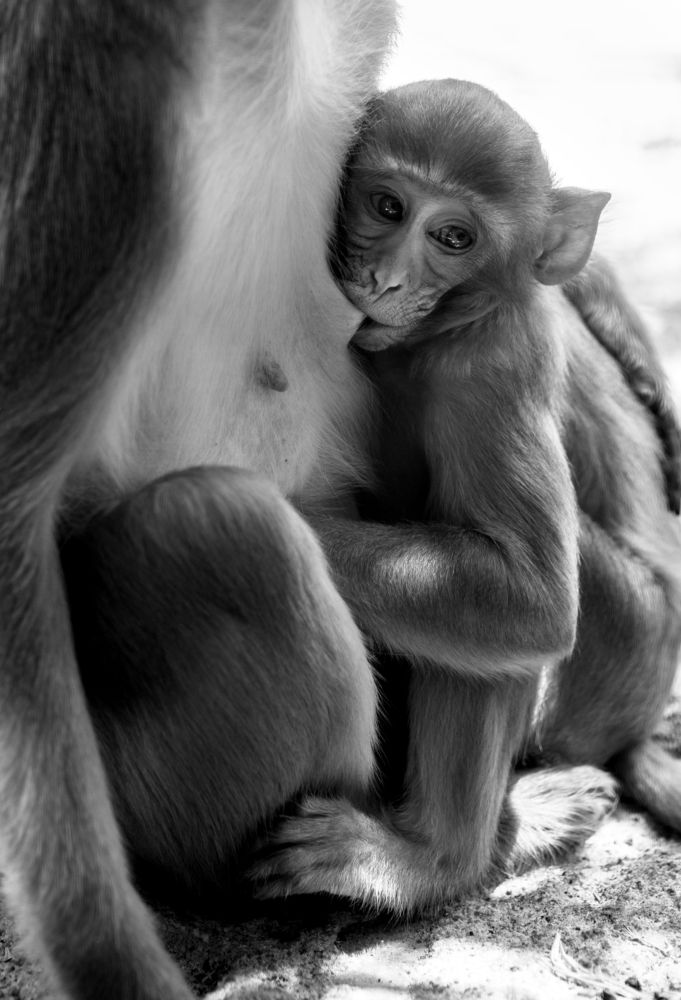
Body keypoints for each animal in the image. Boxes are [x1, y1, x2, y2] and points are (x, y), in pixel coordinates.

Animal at [252, 79, 681, 909]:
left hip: (622, 645)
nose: (385, 280)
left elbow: (528, 595)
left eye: (452, 237)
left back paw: (428, 859)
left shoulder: (490, 366)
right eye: (387, 206)